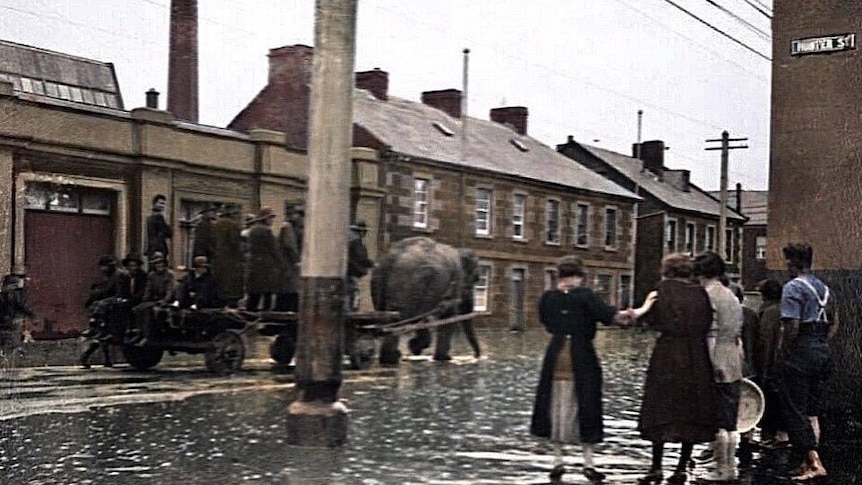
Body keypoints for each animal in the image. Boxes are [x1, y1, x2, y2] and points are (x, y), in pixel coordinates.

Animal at [370, 234, 482, 364]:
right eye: (476, 278)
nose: (476, 356)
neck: (459, 250)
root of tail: (392, 258)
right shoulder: (456, 280)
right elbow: (448, 317)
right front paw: (443, 358)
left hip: (378, 280)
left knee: (388, 317)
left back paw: (390, 357)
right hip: (411, 284)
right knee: (404, 318)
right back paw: (392, 358)